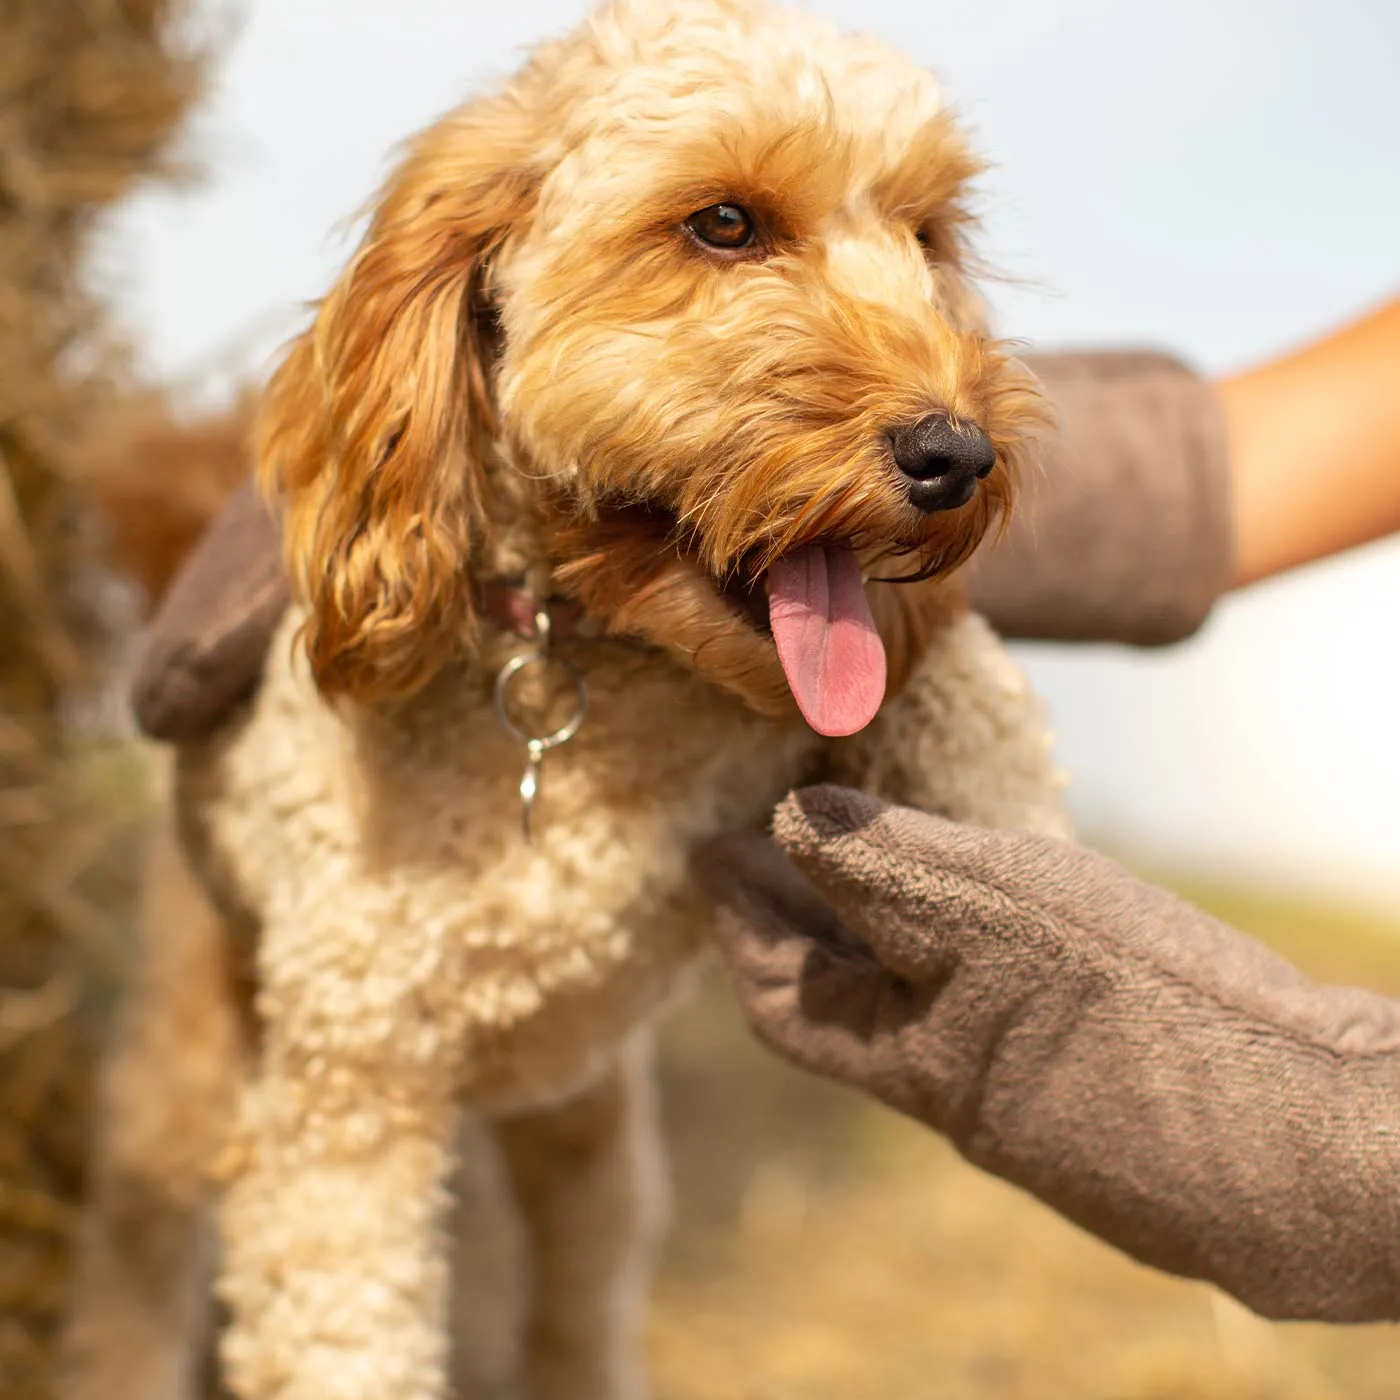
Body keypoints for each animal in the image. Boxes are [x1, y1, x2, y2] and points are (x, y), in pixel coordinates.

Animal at [63, 2, 1069, 1400]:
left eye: (926, 239)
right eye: (723, 223)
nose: (956, 454)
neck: (577, 651)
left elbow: (966, 700)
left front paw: (1039, 881)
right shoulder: (346, 1101)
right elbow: (343, 1334)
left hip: (588, 1140)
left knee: (579, 1306)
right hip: (189, 1063)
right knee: (134, 1268)